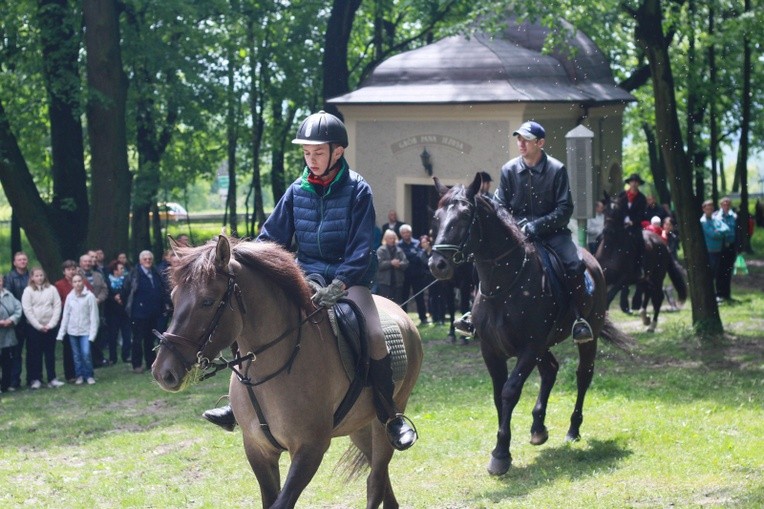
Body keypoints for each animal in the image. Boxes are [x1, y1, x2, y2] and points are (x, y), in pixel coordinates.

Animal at [430, 174, 632, 476]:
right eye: (437, 216)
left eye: (465, 216)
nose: (437, 264)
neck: (504, 285)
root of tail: (593, 260)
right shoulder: (492, 350)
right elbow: (497, 394)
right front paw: (504, 446)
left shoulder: (529, 347)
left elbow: (510, 391)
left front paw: (501, 453)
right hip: (544, 346)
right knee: (550, 370)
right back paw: (538, 427)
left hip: (586, 338)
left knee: (583, 375)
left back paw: (573, 429)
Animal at [592, 192, 688, 332]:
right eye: (605, 210)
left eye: (618, 211)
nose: (608, 231)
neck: (611, 247)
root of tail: (663, 244)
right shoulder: (604, 276)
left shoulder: (624, 279)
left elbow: (609, 297)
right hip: (646, 279)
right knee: (647, 293)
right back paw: (645, 317)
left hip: (657, 277)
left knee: (658, 297)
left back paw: (652, 325)